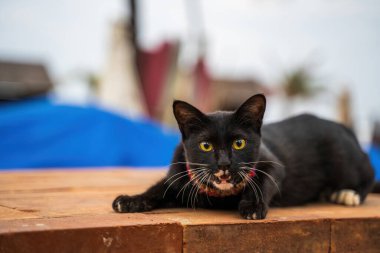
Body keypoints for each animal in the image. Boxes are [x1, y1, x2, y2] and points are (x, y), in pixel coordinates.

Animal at [113, 94, 374, 218]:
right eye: (206, 146)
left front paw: (253, 205)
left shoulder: (272, 163)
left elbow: (263, 181)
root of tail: (344, 128)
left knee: (369, 176)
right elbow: (159, 188)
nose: (224, 163)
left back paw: (347, 193)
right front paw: (131, 200)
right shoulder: (179, 171)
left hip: (342, 157)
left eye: (239, 143)